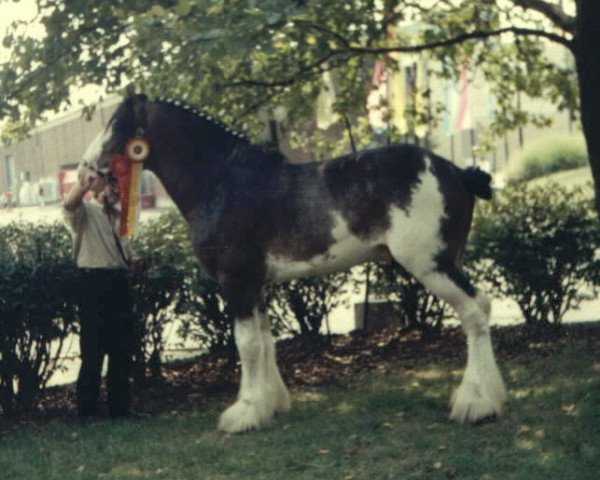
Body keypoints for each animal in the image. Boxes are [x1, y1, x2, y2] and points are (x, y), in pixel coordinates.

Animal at [81, 93, 506, 432]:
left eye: (117, 125)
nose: (85, 171)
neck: (222, 181)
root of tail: (457, 171)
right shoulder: (256, 285)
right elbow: (264, 341)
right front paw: (269, 405)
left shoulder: (236, 282)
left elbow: (246, 344)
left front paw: (244, 413)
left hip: (431, 265)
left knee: (475, 312)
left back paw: (477, 403)